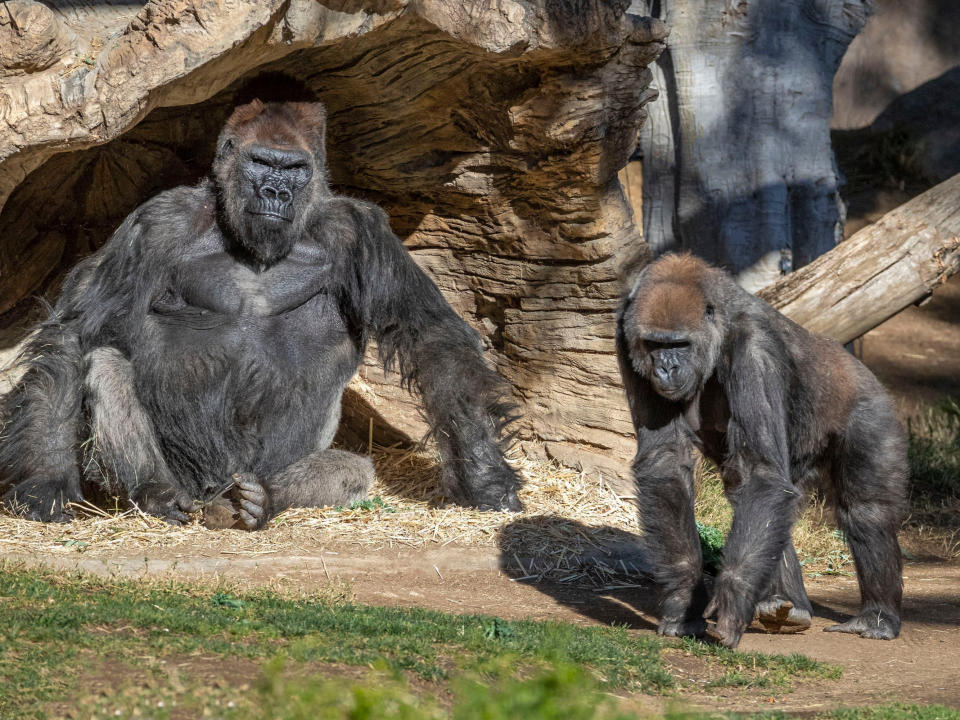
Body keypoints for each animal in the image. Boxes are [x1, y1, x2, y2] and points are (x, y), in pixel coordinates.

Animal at [1, 80, 524, 528]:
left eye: (294, 169)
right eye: (261, 162)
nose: (276, 192)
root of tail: (213, 493)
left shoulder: (360, 230)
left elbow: (431, 336)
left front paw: (484, 475)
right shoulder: (157, 223)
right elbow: (78, 334)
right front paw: (45, 479)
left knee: (352, 470)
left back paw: (261, 500)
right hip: (192, 480)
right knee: (107, 365)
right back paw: (159, 493)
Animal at [616, 253, 908, 648]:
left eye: (680, 345)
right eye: (653, 345)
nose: (666, 369)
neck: (719, 326)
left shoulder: (755, 348)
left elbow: (762, 474)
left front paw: (733, 596)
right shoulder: (624, 333)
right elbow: (667, 463)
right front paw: (683, 598)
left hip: (871, 406)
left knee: (866, 510)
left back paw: (877, 617)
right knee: (753, 493)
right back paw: (785, 603)